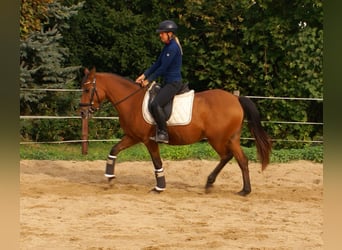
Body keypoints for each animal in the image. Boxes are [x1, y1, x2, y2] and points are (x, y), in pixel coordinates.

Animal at [79, 67, 272, 196]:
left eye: (87, 89)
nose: (82, 112)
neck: (132, 101)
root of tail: (235, 99)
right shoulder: (133, 137)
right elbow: (114, 150)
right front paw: (110, 177)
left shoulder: (148, 140)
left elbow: (157, 162)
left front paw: (159, 187)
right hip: (231, 139)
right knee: (240, 160)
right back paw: (240, 189)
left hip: (218, 139)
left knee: (229, 157)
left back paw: (217, 184)